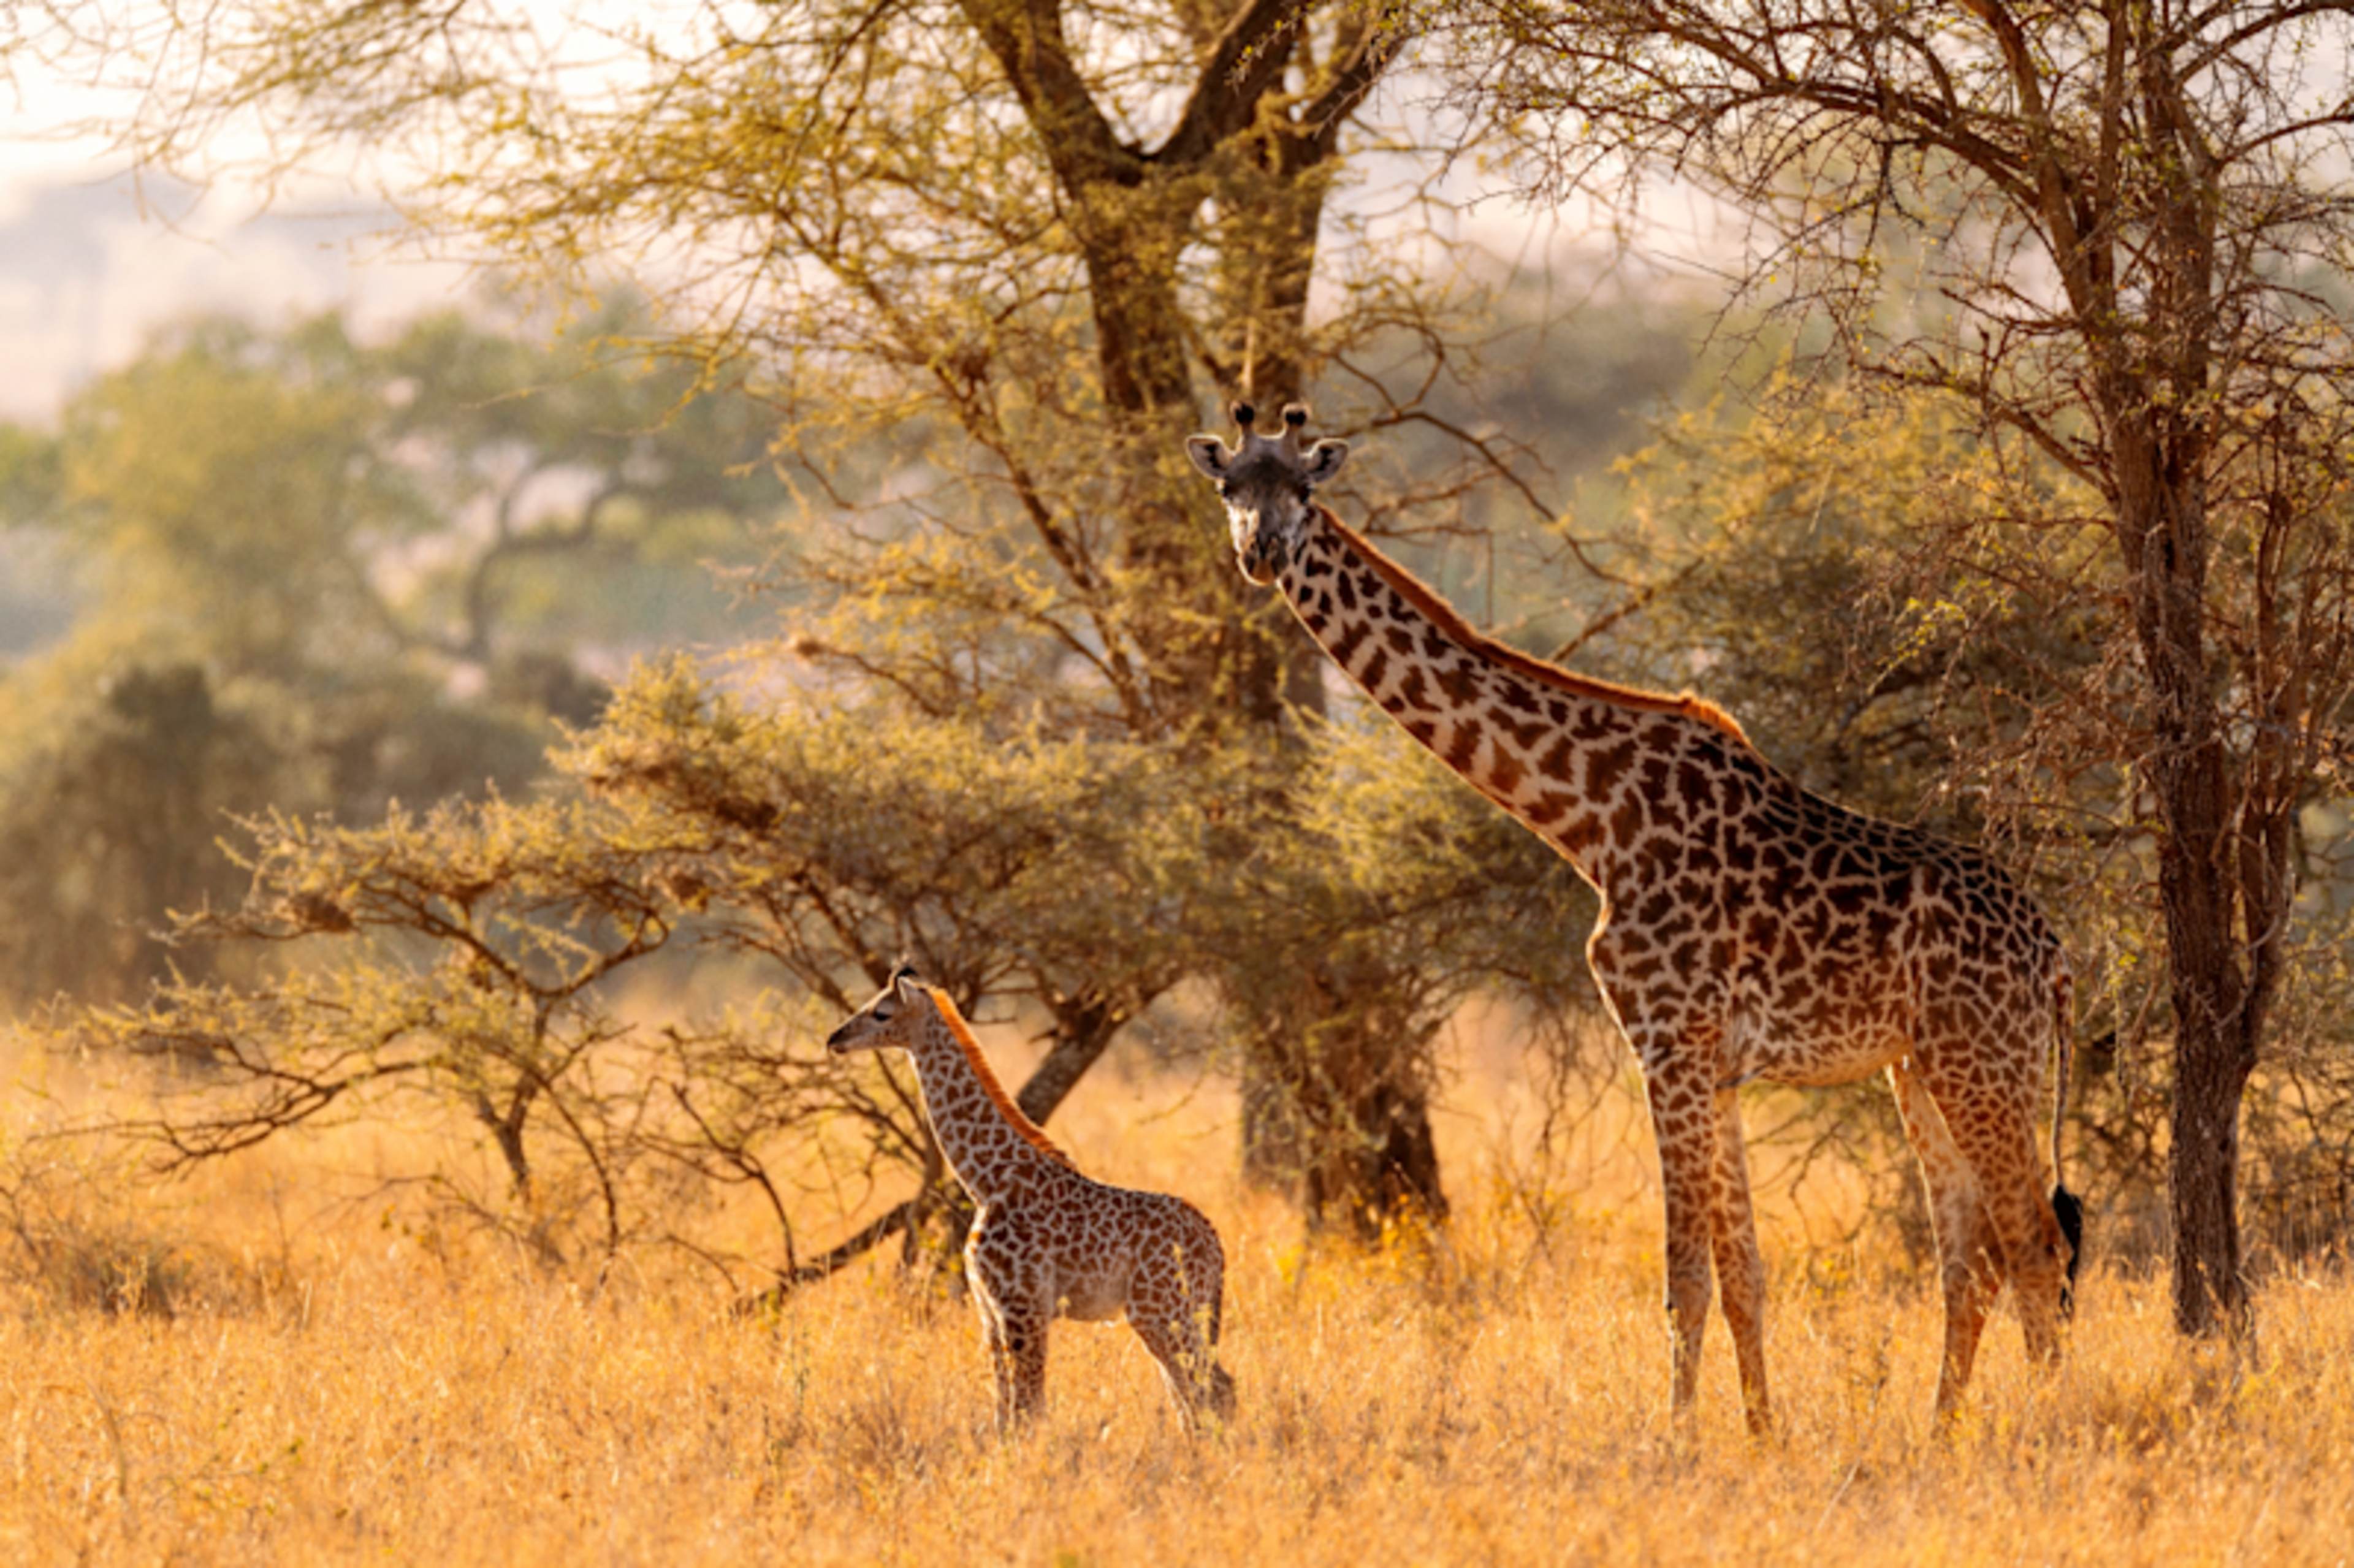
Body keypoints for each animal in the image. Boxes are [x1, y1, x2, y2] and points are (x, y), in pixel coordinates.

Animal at [826, 966, 1238, 1435]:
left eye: (881, 1012)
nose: (835, 1038)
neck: (986, 1180)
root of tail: (1215, 1245)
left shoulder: (1022, 1305)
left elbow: (1028, 1408)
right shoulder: (990, 1310)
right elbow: (1005, 1410)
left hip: (1160, 1310)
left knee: (1210, 1389)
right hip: (1179, 1311)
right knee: (1195, 1393)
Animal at [1184, 401, 2082, 1430]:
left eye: (1304, 488)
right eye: (1229, 487)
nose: (1261, 552)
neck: (1589, 817)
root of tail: (2056, 955)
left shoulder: (1668, 1040)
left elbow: (1684, 1274)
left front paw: (1679, 1439)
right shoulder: (1713, 1063)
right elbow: (1744, 1272)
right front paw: (1762, 1433)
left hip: (1983, 1062)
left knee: (2034, 1243)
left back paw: (2042, 1430)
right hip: (1920, 1069)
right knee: (1972, 1257)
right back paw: (1942, 1433)